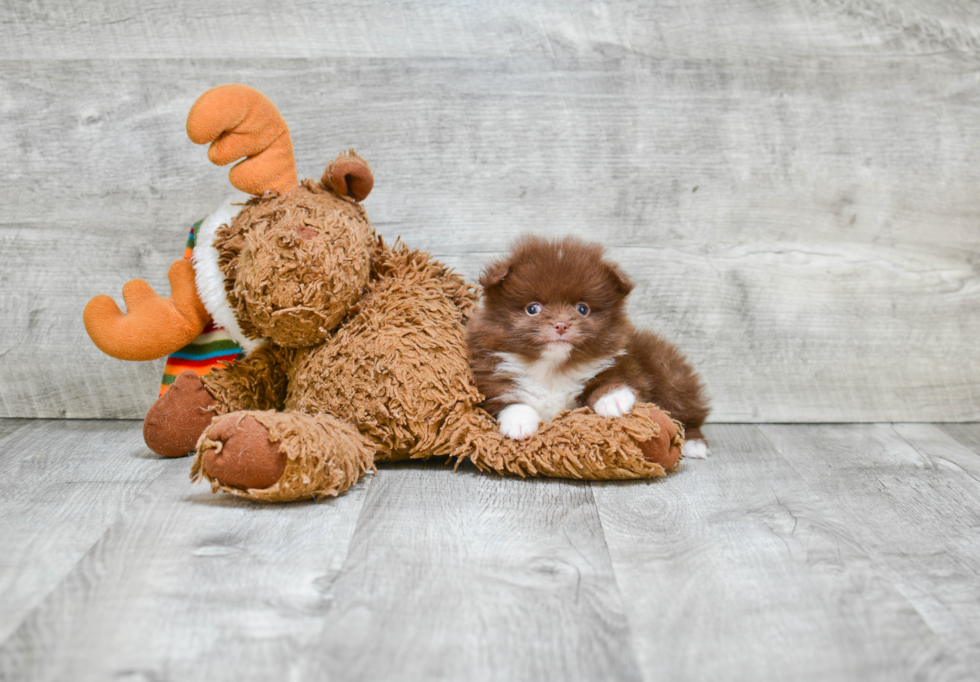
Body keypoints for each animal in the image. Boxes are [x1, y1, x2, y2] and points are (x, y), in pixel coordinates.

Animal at [468, 234, 712, 456]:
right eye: (533, 308)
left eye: (582, 309)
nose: (561, 324)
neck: (552, 368)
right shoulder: (491, 377)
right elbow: (508, 398)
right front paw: (519, 422)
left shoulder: (625, 363)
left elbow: (613, 378)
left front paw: (613, 398)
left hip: (671, 378)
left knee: (689, 416)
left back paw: (694, 444)